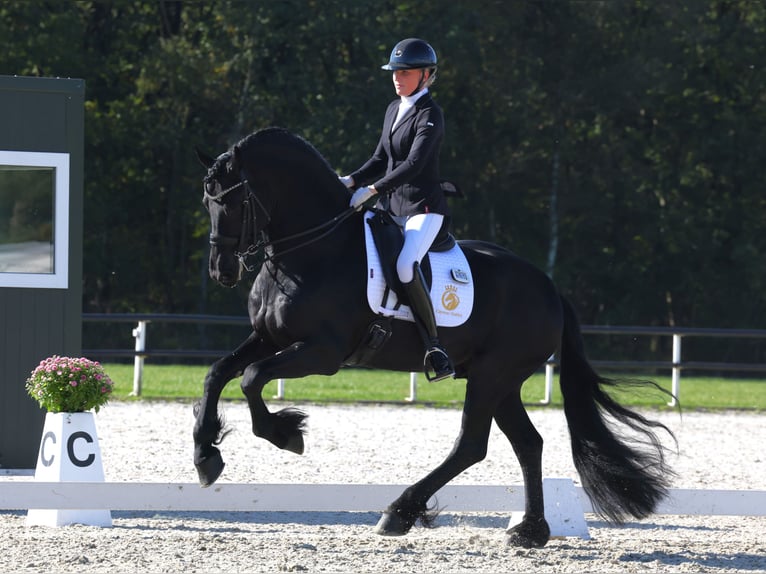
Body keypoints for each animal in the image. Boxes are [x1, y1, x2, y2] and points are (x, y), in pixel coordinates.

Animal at [194, 126, 680, 548]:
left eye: (232, 202)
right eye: (207, 200)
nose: (221, 271)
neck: (314, 250)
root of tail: (549, 287)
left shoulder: (322, 352)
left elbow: (251, 379)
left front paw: (286, 433)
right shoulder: (269, 337)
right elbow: (218, 373)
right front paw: (206, 457)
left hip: (492, 376)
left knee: (471, 445)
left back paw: (399, 512)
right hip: (501, 382)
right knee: (527, 443)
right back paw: (529, 531)